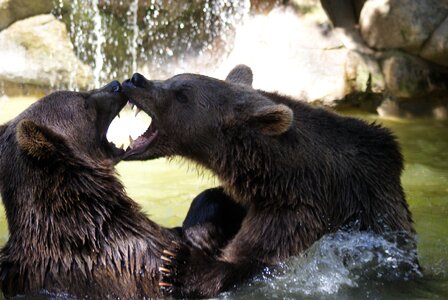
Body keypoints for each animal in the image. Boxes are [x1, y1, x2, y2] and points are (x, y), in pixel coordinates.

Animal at [121, 65, 416, 298]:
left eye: (182, 94)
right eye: (172, 78)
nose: (135, 79)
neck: (283, 172)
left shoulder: (305, 209)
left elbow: (255, 258)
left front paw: (179, 265)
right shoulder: (260, 192)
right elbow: (220, 200)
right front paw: (201, 230)